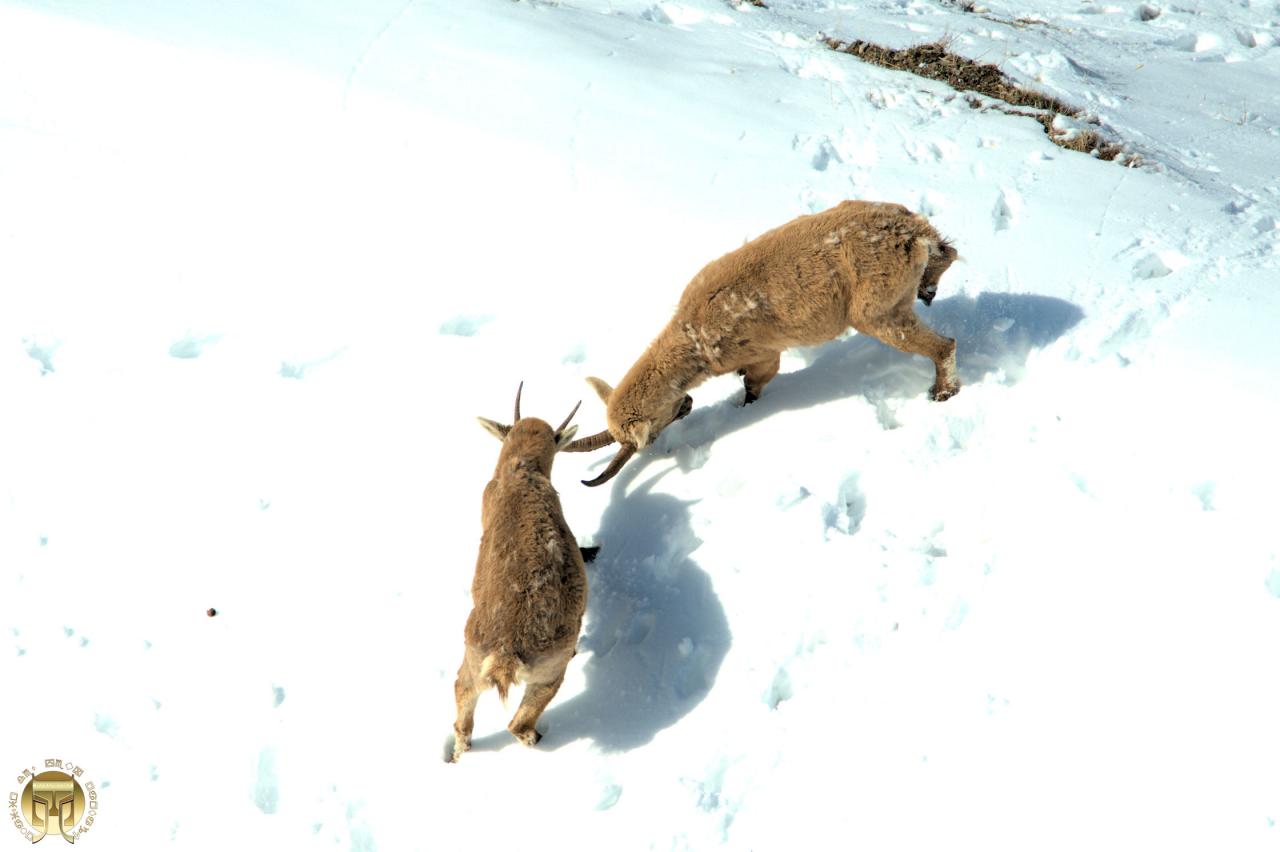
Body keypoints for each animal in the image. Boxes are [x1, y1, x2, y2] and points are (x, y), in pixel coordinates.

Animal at [450, 381, 586, 757]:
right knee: (517, 724)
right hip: (550, 672)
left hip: (476, 656)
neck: (521, 469)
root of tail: (506, 652)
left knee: (465, 697)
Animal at [565, 194, 957, 481]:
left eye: (644, 438)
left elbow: (754, 384)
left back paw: (943, 391)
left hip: (874, 307)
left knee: (943, 343)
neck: (695, 337)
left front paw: (744, 409)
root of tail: (914, 233)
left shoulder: (759, 349)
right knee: (949, 252)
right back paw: (930, 286)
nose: (687, 406)